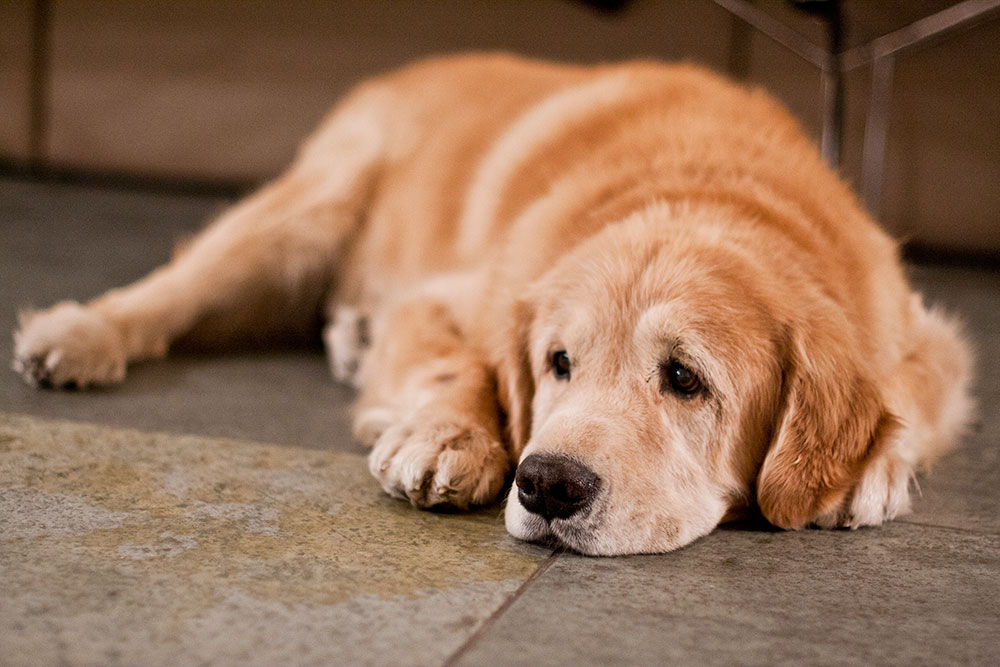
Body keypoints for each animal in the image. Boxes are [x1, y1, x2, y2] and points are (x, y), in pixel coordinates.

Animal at [11, 54, 972, 552]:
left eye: (685, 379)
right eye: (558, 362)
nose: (547, 484)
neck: (702, 194)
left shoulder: (934, 342)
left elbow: (911, 399)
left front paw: (871, 469)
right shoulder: (449, 299)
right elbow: (460, 363)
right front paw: (448, 435)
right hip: (309, 206)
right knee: (168, 291)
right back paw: (79, 332)